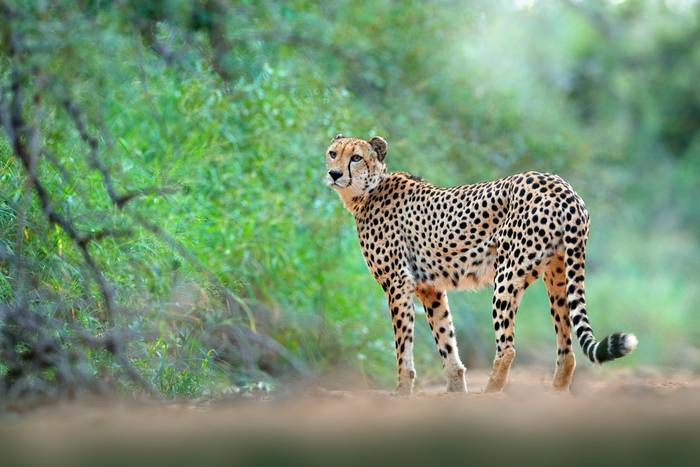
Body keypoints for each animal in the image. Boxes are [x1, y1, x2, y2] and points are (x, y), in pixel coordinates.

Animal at [325, 134, 637, 395]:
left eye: (356, 157)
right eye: (332, 153)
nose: (334, 173)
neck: (367, 191)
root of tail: (562, 186)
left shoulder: (398, 283)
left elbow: (403, 348)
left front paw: (402, 392)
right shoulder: (430, 288)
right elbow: (446, 339)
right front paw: (455, 391)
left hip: (507, 275)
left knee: (508, 347)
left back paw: (490, 393)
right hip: (559, 276)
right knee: (567, 348)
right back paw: (556, 393)